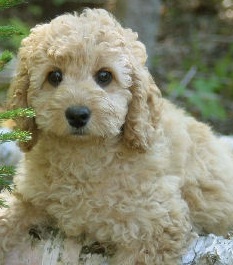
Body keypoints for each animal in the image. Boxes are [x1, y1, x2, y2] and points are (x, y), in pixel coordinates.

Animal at [0, 7, 233, 262]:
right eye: (54, 76)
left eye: (104, 76)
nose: (77, 114)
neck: (83, 158)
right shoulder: (28, 193)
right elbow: (7, 212)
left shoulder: (156, 224)